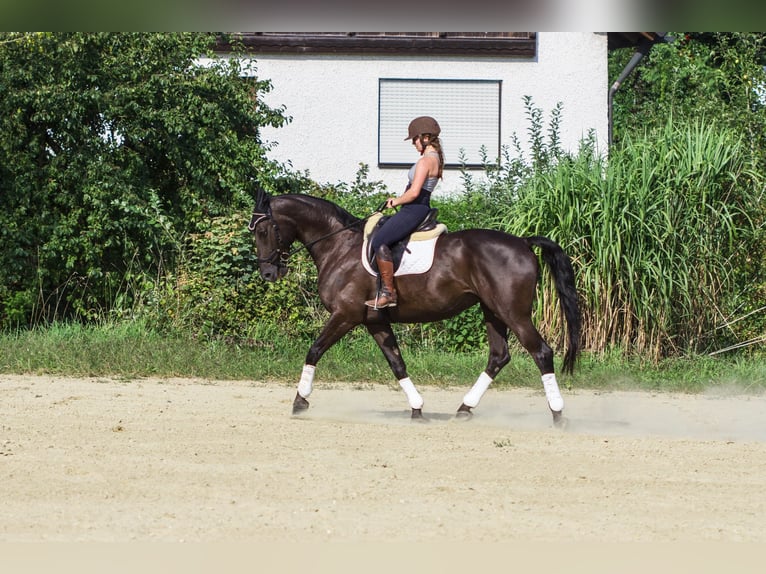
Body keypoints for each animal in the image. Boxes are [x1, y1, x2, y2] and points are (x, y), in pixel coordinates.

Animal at [250, 189, 584, 428]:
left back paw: (558, 414)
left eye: (262, 231)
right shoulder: (374, 321)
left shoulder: (345, 315)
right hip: (493, 311)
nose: (268, 273)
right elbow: (397, 363)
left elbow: (314, 350)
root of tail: (523, 242)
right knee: (499, 356)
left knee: (541, 352)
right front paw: (417, 408)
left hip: (514, 313)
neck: (339, 246)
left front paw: (300, 402)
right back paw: (464, 409)